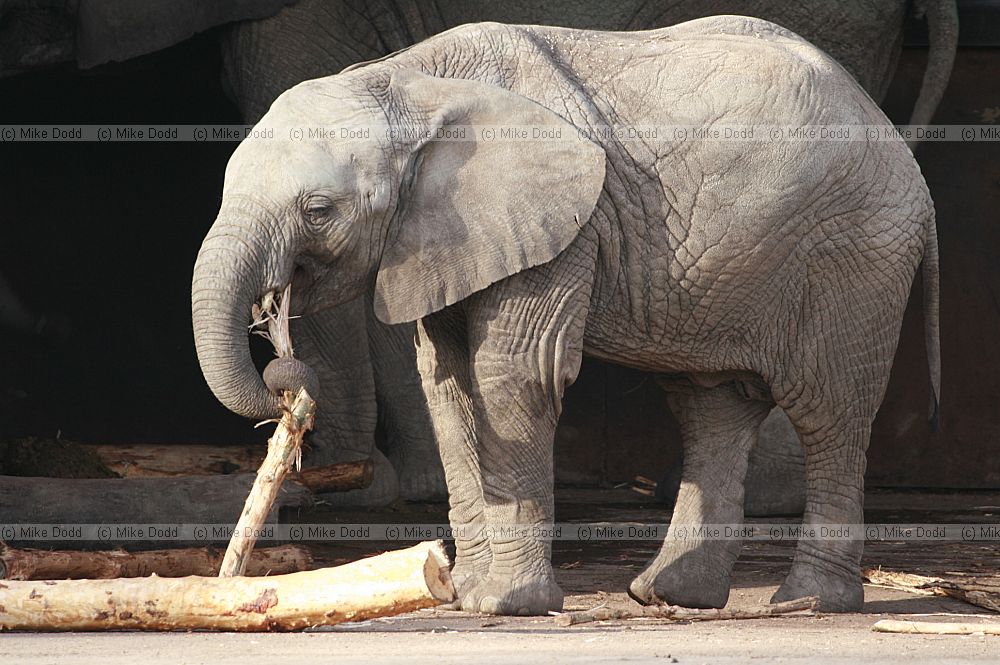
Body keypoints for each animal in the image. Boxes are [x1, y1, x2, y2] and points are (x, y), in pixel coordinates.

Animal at [191, 18, 941, 613]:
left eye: (319, 210)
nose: (282, 364)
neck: (409, 84)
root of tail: (897, 143)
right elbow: (449, 387)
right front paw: (464, 595)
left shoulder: (558, 224)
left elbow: (511, 376)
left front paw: (505, 604)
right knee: (714, 406)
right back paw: (667, 594)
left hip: (854, 258)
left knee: (831, 413)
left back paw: (808, 601)